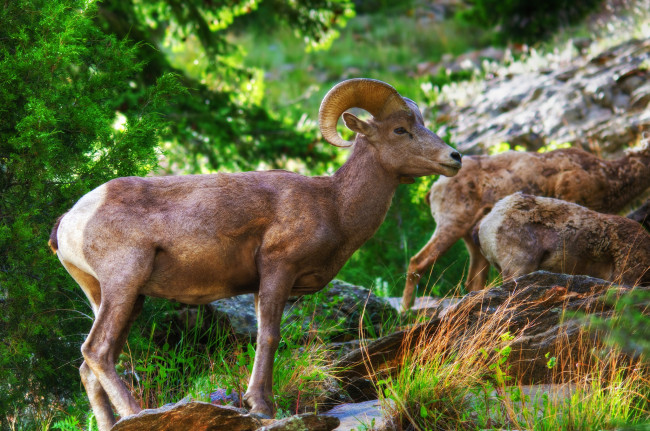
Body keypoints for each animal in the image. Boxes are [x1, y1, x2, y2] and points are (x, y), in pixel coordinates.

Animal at [48, 78, 462, 430]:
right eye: (400, 130)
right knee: (98, 351)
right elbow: (270, 336)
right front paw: (261, 406)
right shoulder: (278, 269)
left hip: (117, 298)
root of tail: (70, 220)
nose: (454, 157)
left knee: (90, 365)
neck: (334, 205)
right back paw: (136, 413)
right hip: (123, 283)